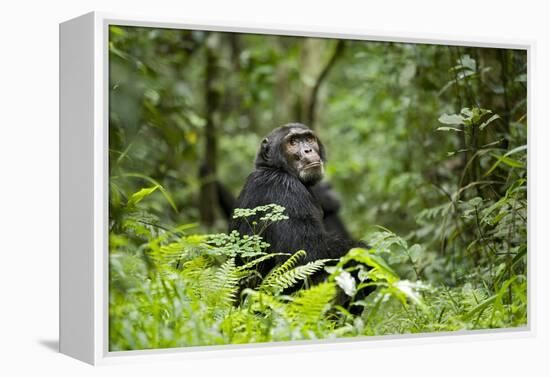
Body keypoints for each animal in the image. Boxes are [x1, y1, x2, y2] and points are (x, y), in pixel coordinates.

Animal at [230, 123, 362, 284]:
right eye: (292, 142)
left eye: (309, 138)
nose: (308, 150)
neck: (276, 169)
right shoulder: (284, 190)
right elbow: (309, 251)